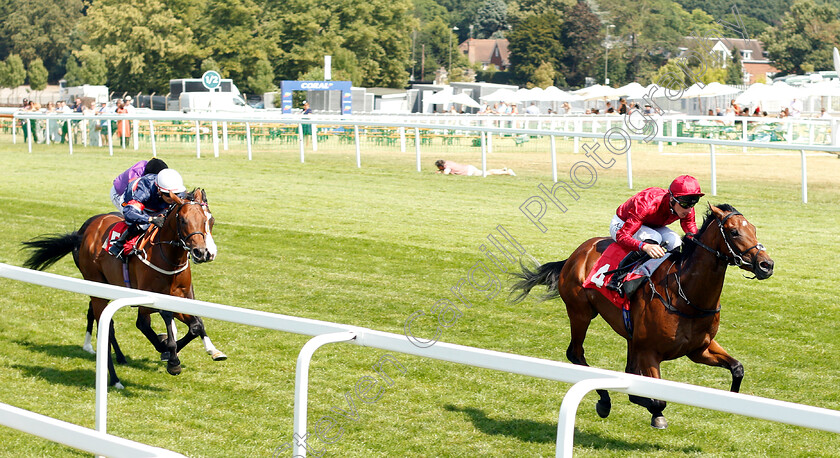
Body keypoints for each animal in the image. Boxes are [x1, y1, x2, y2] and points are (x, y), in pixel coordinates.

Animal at [22, 188, 225, 388]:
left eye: (210, 220)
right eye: (183, 220)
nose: (203, 252)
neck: (169, 258)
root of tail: (84, 231)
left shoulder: (182, 297)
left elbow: (196, 325)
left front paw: (199, 350)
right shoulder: (149, 300)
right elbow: (152, 323)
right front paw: (170, 356)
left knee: (101, 319)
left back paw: (115, 356)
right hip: (97, 284)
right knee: (107, 323)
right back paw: (114, 378)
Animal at [508, 204, 772, 430]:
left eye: (754, 229)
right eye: (734, 232)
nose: (766, 265)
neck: (685, 295)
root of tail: (577, 253)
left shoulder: (699, 349)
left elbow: (737, 368)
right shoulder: (649, 352)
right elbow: (656, 399)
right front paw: (654, 413)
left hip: (628, 335)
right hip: (580, 312)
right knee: (575, 353)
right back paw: (604, 401)